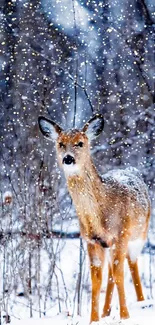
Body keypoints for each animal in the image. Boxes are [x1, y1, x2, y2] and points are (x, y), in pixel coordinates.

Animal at [38, 113, 151, 322]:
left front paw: (125, 316)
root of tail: (132, 170)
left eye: (80, 143)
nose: (68, 158)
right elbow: (96, 279)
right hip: (110, 245)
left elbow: (120, 274)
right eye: (60, 143)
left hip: (139, 234)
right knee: (111, 273)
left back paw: (141, 302)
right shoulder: (92, 240)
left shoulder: (121, 234)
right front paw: (94, 319)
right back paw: (106, 311)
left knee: (131, 265)